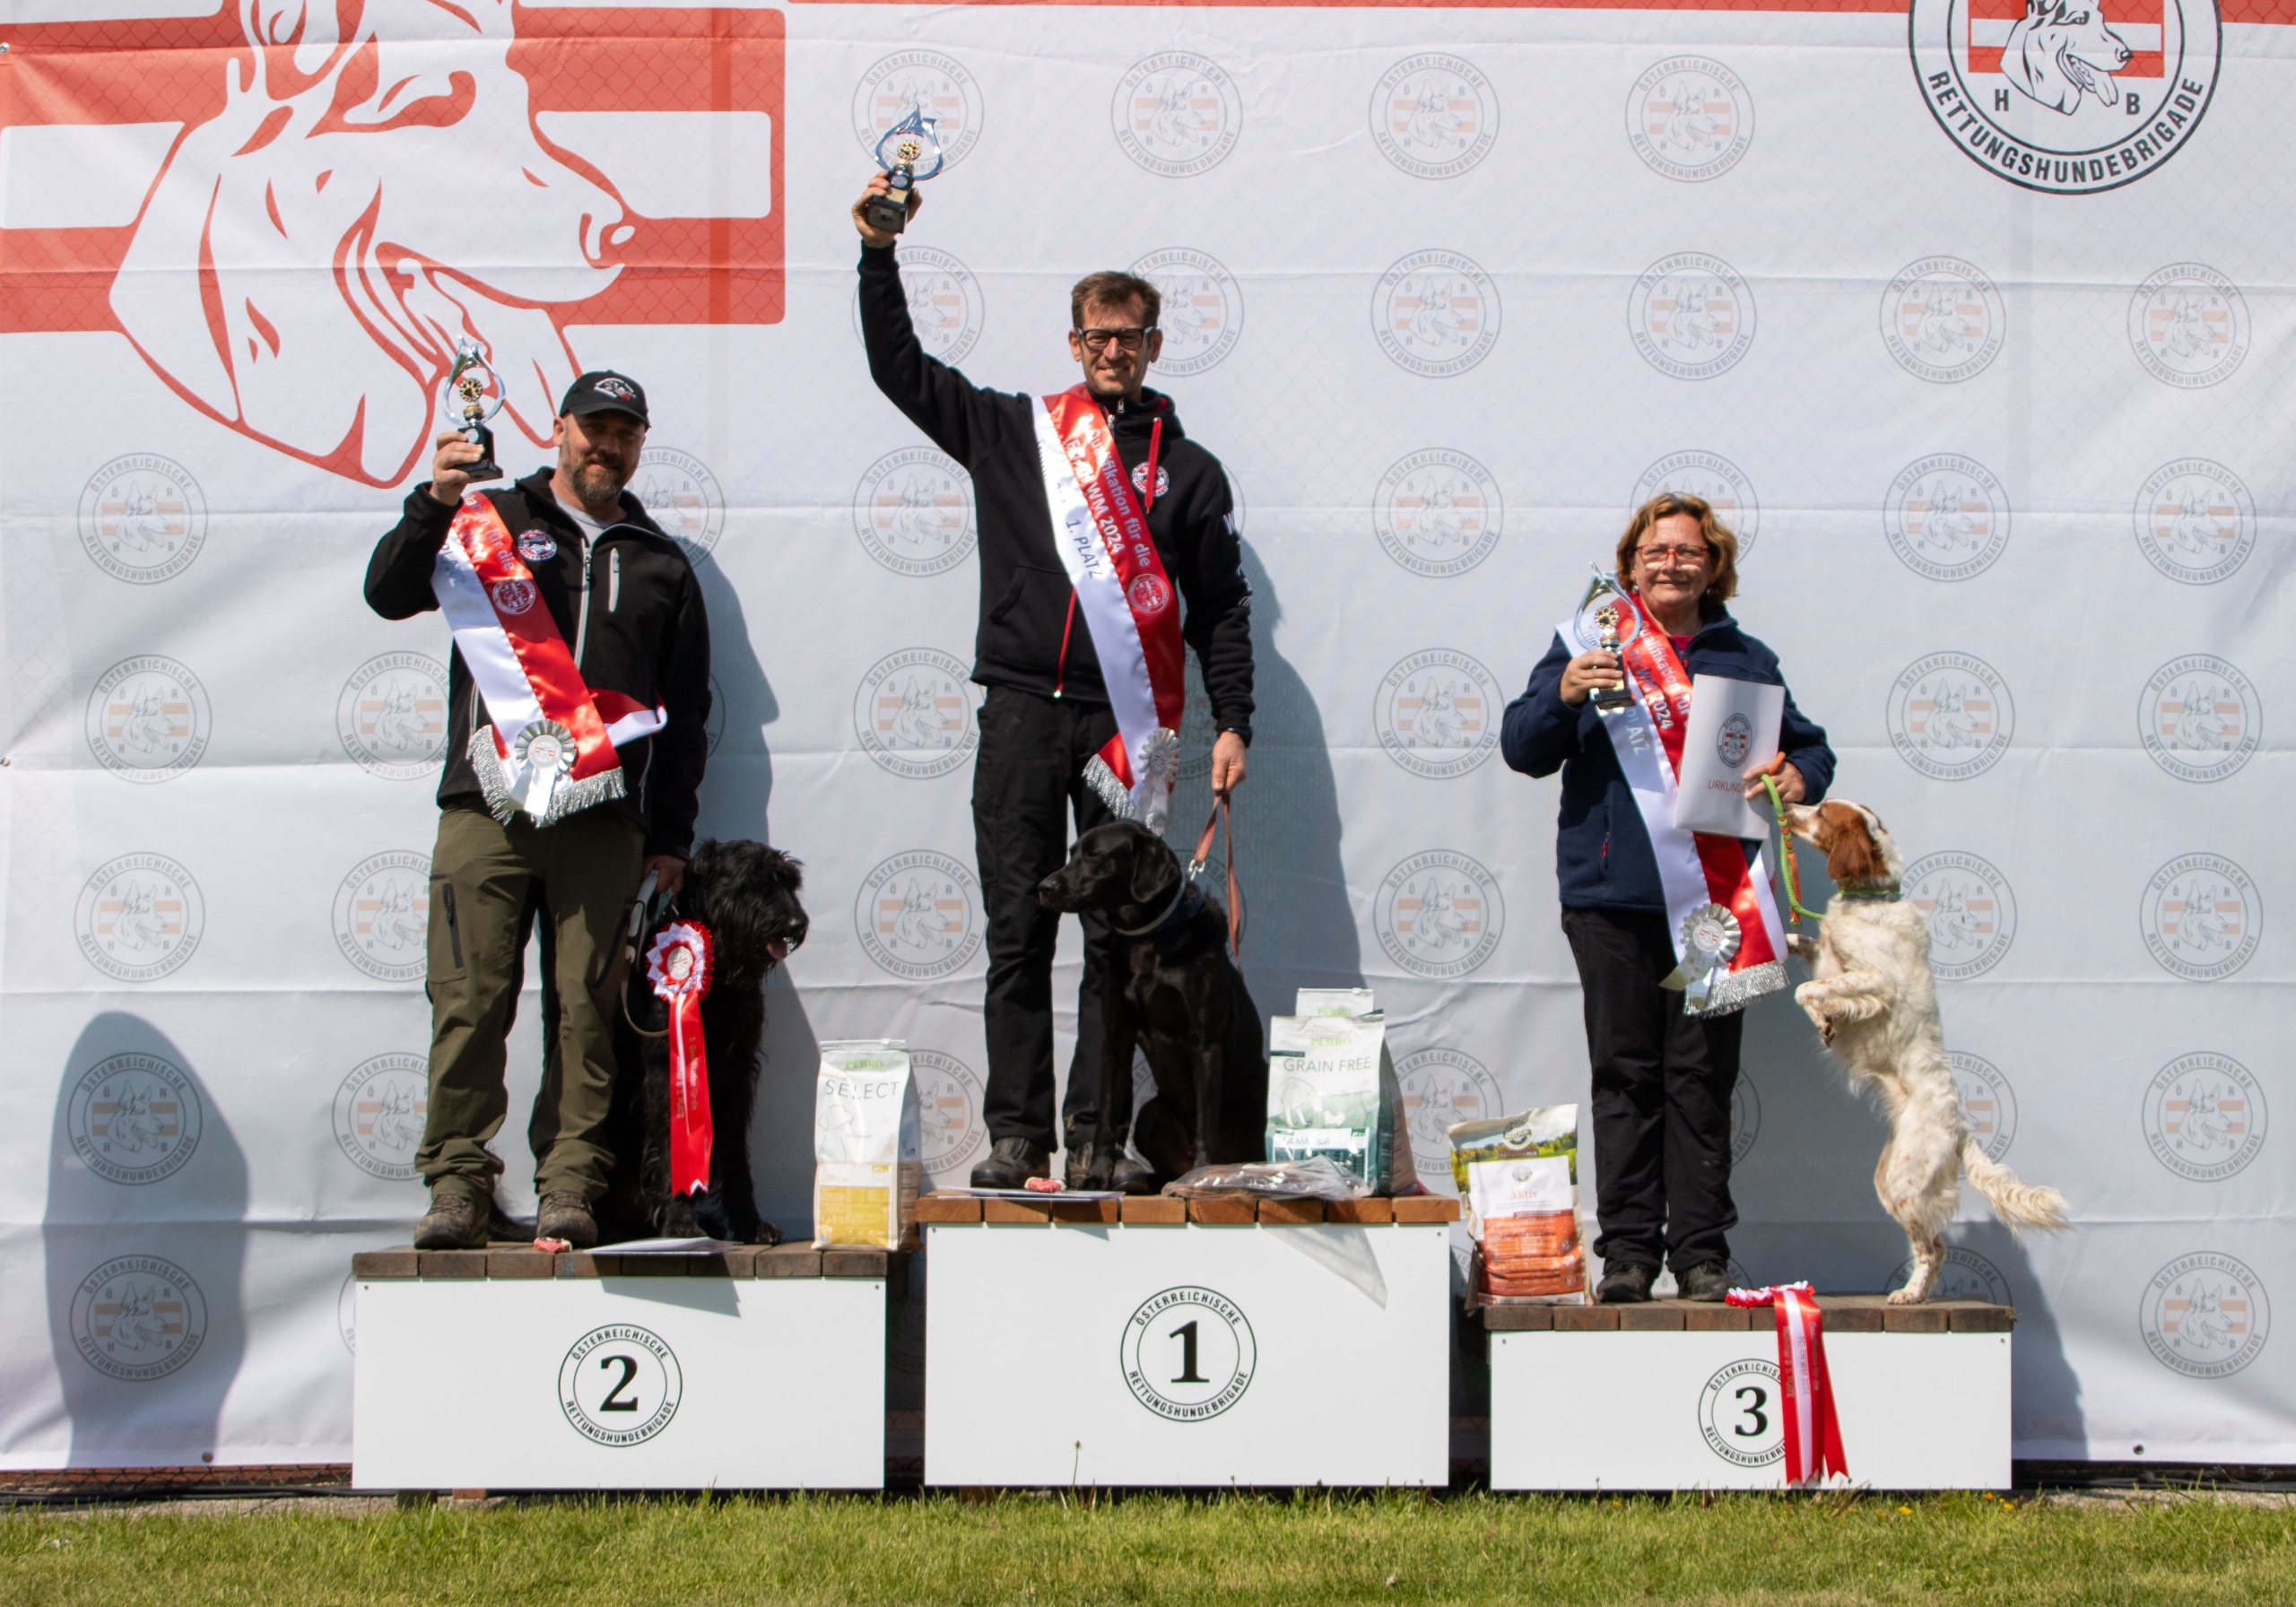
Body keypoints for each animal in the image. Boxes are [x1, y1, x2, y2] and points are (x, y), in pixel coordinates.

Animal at [597, 839, 810, 1244]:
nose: (797, 924)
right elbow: (670, 1144)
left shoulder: (738, 1072)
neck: (720, 974)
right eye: (751, 881)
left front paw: (749, 1222)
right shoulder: (667, 1070)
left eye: (789, 882)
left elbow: (737, 1155)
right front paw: (680, 1221)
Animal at [1037, 820, 1266, 1191]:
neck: (1146, 938)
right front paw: (1097, 1176)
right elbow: (1105, 1118)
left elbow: (1206, 1124)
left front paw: (1199, 1178)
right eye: (1073, 853)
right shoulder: (1115, 1038)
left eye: (1095, 855)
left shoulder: (1205, 1044)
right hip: (1149, 1114)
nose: (1043, 887)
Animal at [1783, 800, 2070, 1303]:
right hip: (1890, 1175)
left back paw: (1910, 1295)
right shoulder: (1828, 956)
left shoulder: (1873, 981)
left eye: (1821, 812)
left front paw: (1823, 1022)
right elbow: (1804, 948)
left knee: (1934, 1247)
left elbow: (1809, 990)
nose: (1790, 804)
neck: (1870, 901)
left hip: (1905, 1182)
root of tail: (1961, 1128)